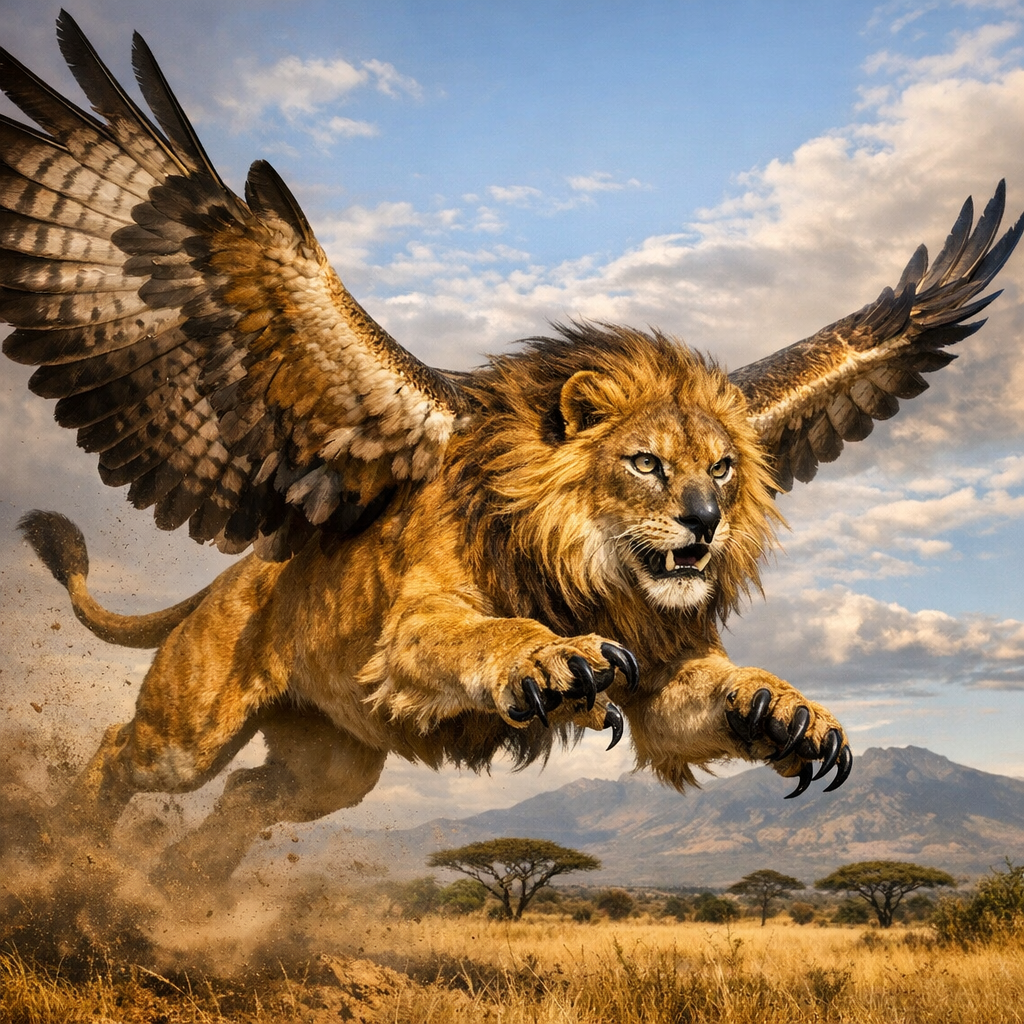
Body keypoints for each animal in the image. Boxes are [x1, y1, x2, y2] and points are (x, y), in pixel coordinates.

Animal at [3, 15, 1021, 887]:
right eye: (646, 464)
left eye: (724, 468)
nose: (704, 524)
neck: (590, 566)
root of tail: (236, 572)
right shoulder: (413, 629)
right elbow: (483, 635)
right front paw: (552, 663)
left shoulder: (665, 674)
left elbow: (709, 694)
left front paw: (788, 711)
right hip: (193, 725)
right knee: (126, 752)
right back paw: (73, 852)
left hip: (332, 765)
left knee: (252, 797)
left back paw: (183, 886)